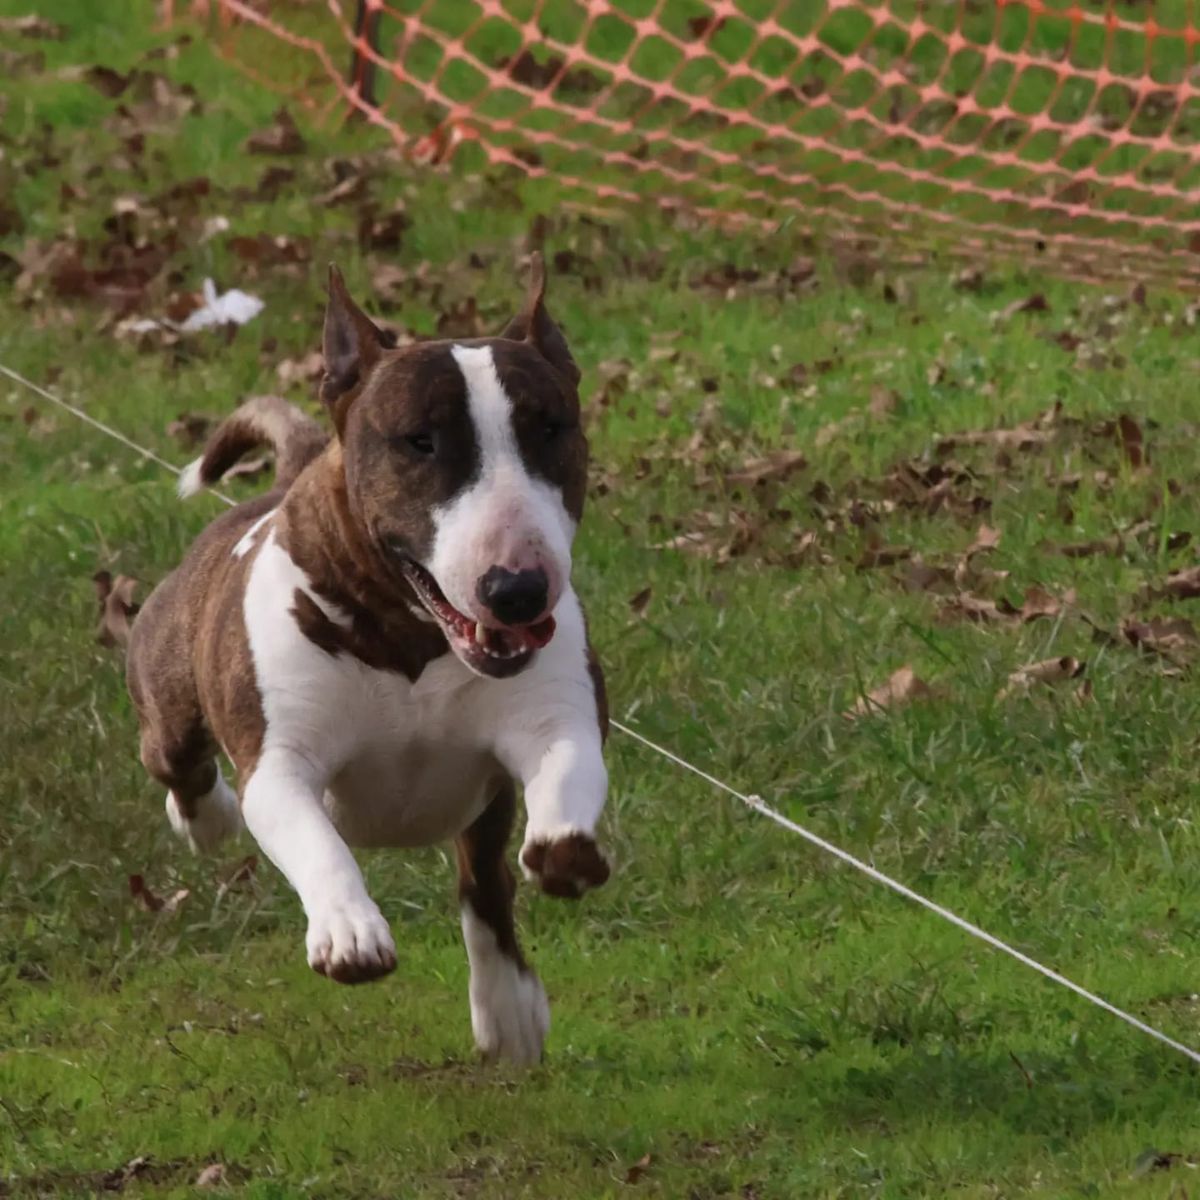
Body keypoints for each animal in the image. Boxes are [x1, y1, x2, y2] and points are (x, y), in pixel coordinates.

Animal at [126, 258, 609, 1065]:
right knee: (176, 758)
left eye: (550, 428)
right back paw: (206, 818)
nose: (517, 590)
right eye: (419, 441)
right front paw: (350, 934)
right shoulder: (281, 762)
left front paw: (565, 853)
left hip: (481, 807)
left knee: (482, 884)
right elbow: (316, 841)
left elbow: (568, 773)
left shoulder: (555, 713)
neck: (412, 636)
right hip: (167, 688)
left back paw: (507, 1010)